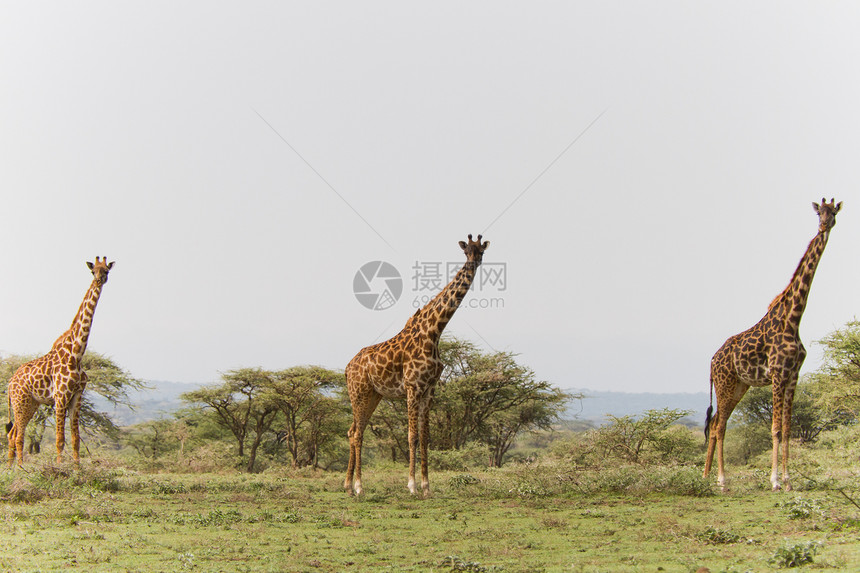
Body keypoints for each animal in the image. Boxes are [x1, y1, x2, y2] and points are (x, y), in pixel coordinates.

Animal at [7, 256, 114, 466]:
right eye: (93, 271)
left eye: (106, 270)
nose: (99, 280)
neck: (76, 354)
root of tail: (10, 383)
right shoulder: (60, 396)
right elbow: (59, 439)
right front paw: (59, 467)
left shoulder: (77, 395)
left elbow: (75, 439)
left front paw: (77, 468)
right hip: (20, 402)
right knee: (18, 435)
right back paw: (21, 468)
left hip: (31, 404)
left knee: (12, 434)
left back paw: (10, 467)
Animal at [344, 233, 490, 496]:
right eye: (466, 251)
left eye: (481, 251)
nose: (474, 263)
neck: (434, 331)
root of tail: (347, 368)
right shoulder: (413, 386)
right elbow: (412, 436)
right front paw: (411, 485)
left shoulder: (429, 389)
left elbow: (425, 437)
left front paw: (426, 486)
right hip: (358, 392)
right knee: (358, 433)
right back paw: (359, 487)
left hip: (372, 395)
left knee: (352, 431)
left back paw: (348, 485)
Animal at [704, 199, 840, 490]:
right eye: (819, 213)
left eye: (833, 213)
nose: (824, 226)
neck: (793, 318)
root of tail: (712, 360)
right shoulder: (778, 374)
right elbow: (775, 429)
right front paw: (775, 480)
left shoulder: (793, 375)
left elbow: (787, 429)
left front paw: (788, 481)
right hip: (724, 383)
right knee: (719, 427)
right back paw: (722, 480)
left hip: (739, 386)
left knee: (717, 422)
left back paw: (706, 477)